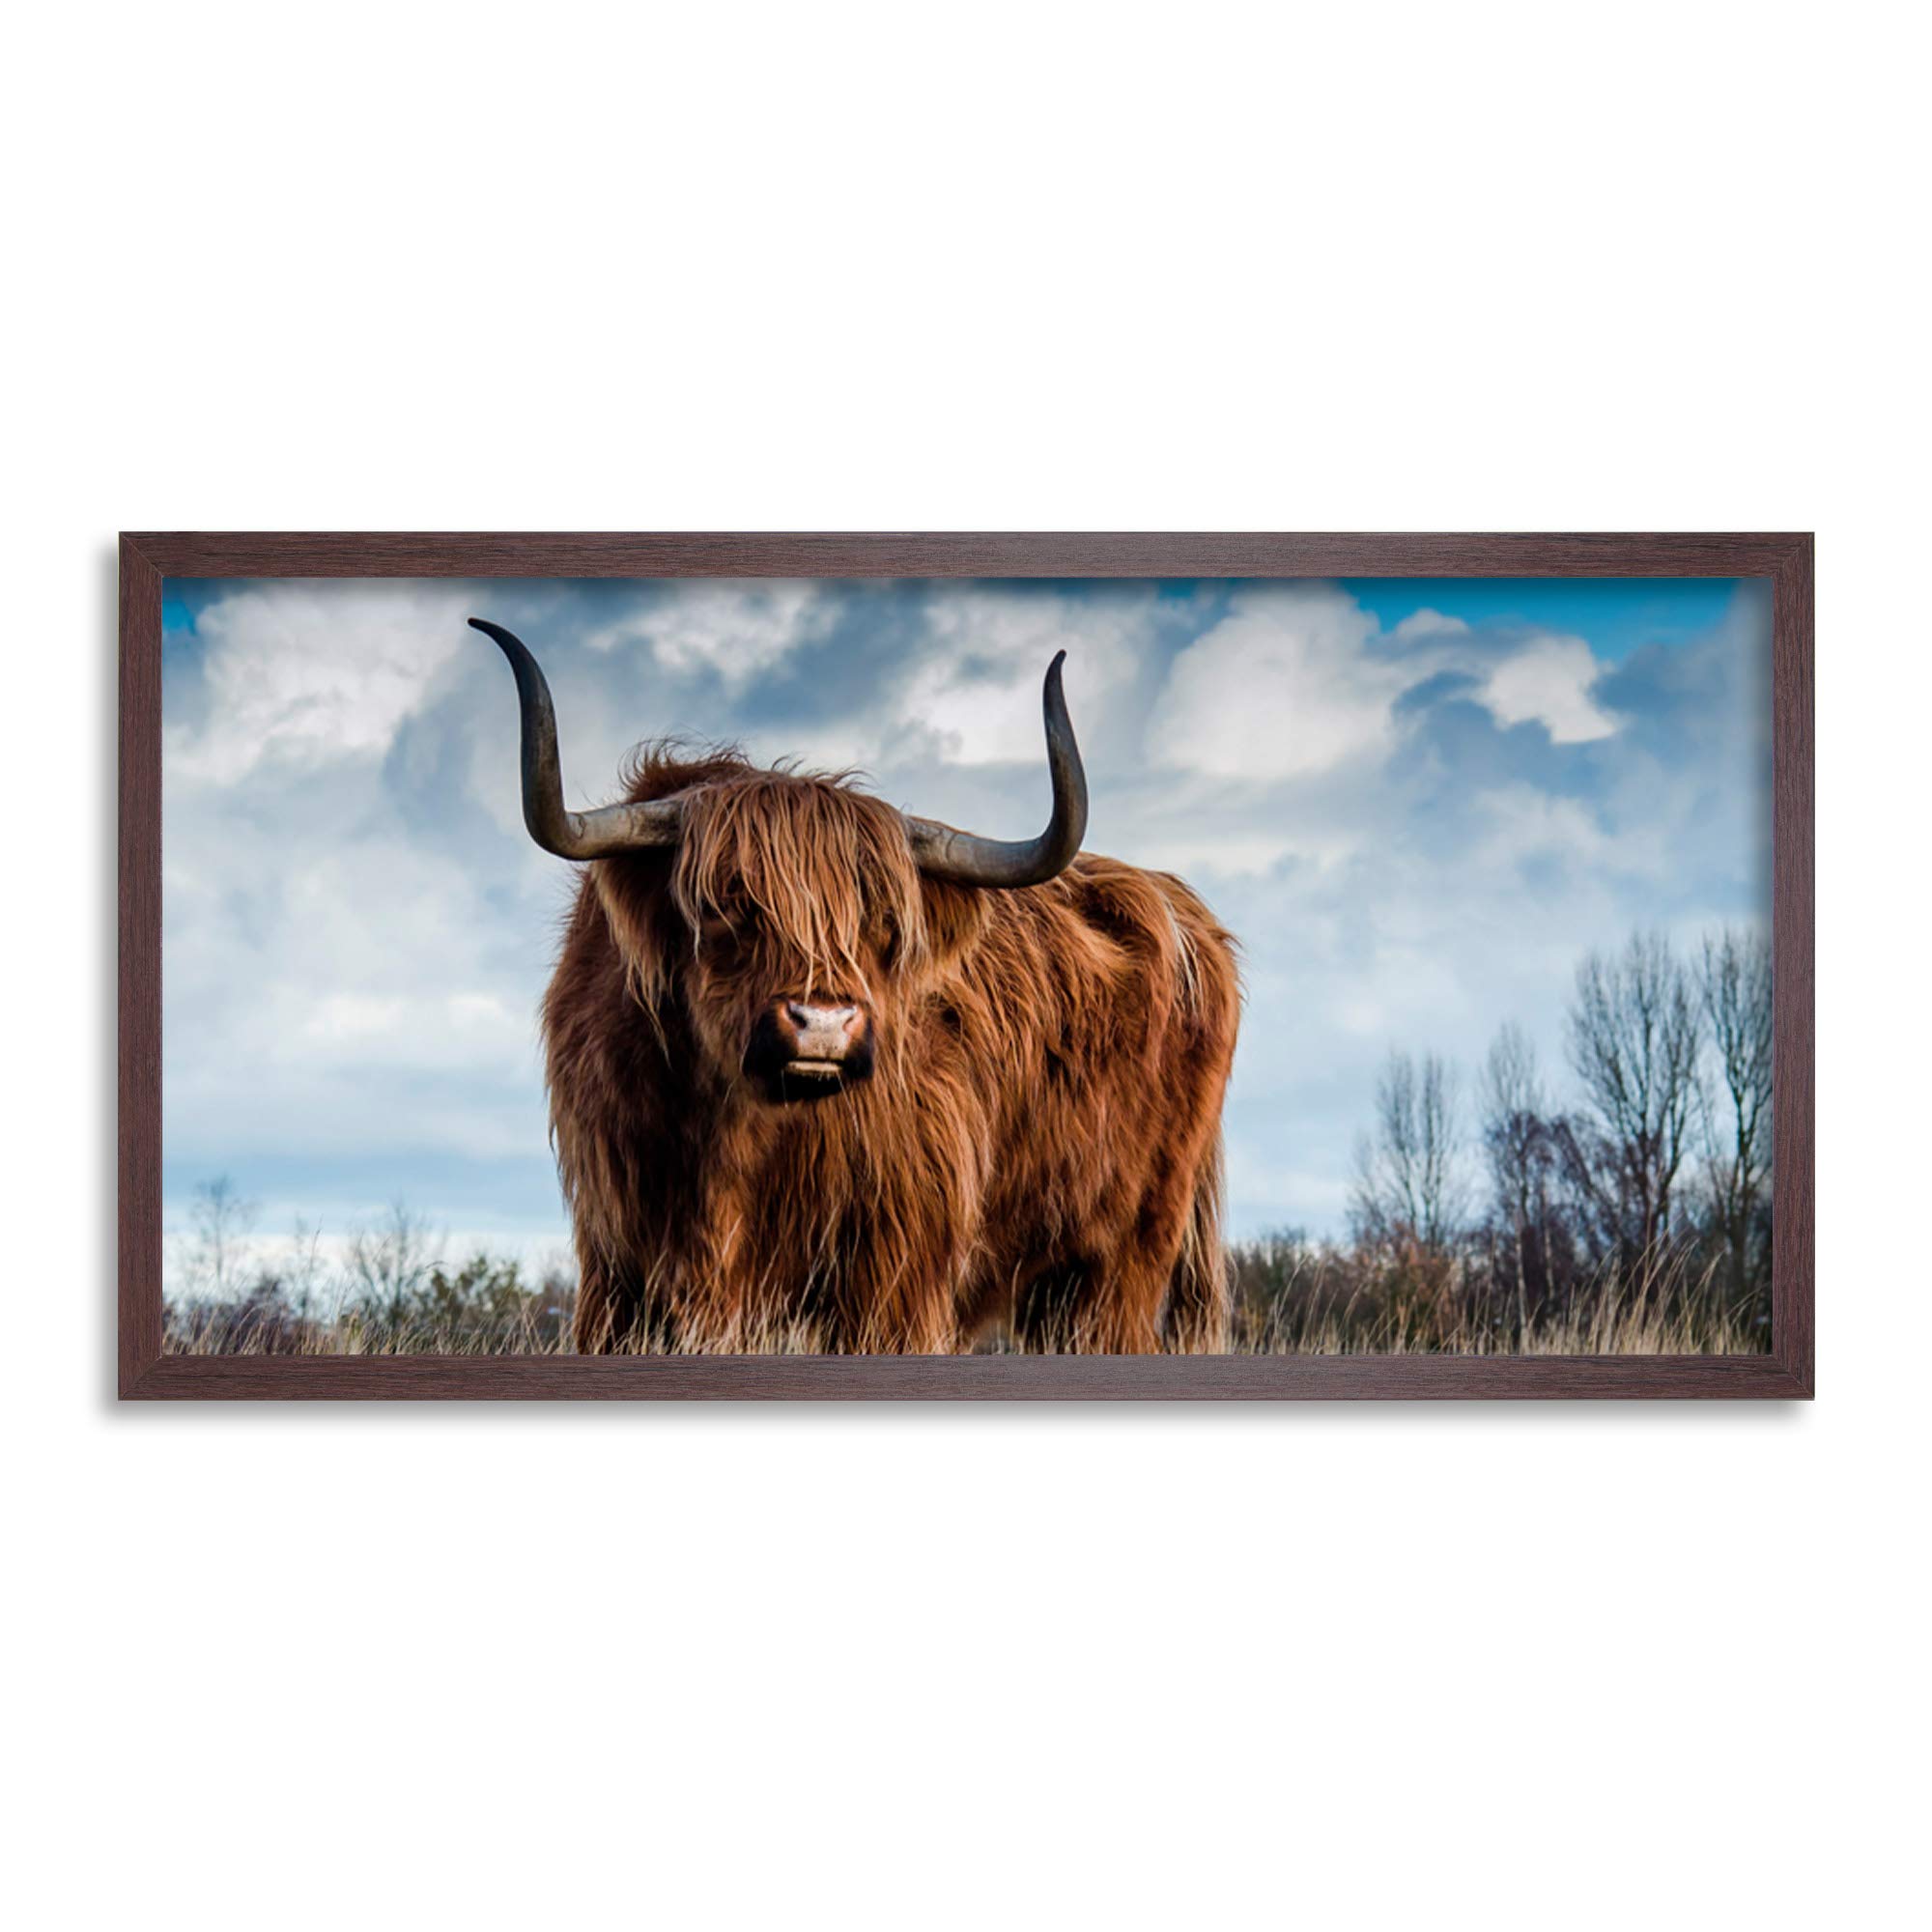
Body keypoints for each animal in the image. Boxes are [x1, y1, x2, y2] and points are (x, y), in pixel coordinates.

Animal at [473, 617, 1240, 1354]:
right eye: (727, 905)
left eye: (882, 921)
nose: (822, 1023)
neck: (732, 1137)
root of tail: (1182, 907)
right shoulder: (620, 1261)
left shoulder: (894, 1271)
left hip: (1124, 1257)